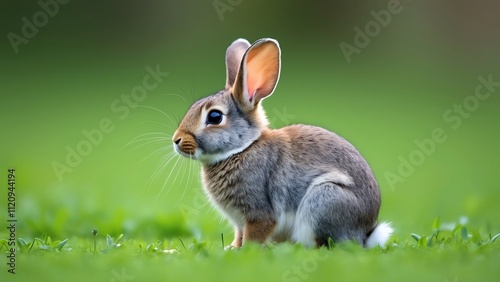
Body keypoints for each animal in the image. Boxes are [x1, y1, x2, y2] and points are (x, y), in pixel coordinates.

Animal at [174, 38, 392, 249]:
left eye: (215, 116)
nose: (176, 140)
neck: (243, 148)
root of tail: (366, 234)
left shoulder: (259, 212)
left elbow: (254, 235)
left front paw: (243, 251)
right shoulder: (239, 222)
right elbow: (239, 235)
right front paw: (231, 248)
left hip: (324, 199)